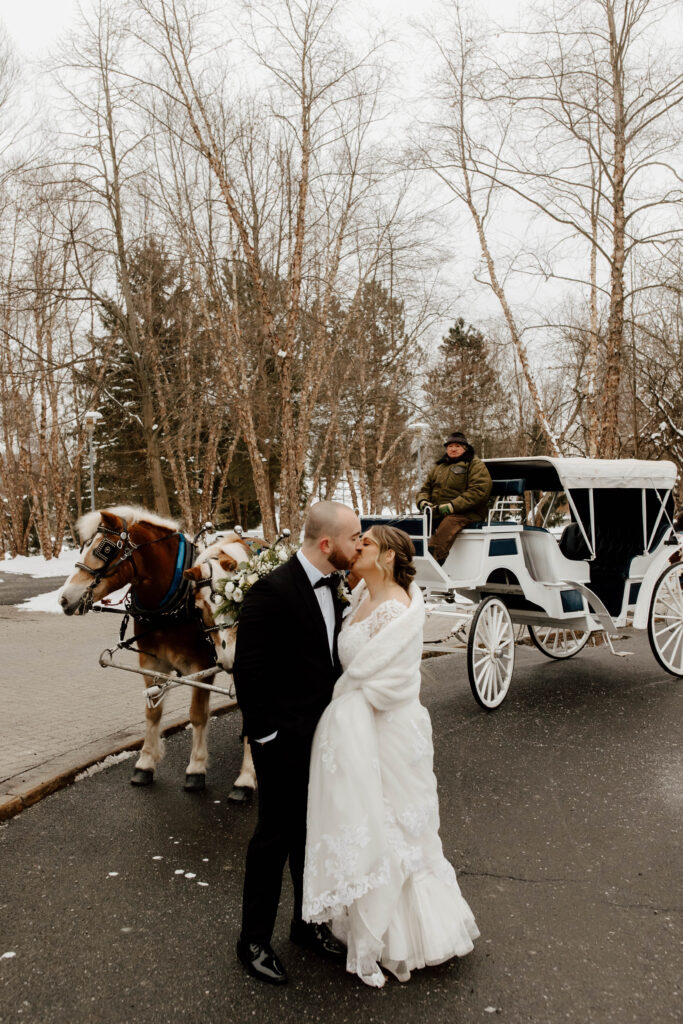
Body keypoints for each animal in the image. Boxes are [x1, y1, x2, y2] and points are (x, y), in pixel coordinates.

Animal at [59, 507, 253, 794]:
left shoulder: (203, 665)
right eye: (83, 546)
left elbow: (197, 715)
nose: (64, 598)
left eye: (104, 549)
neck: (168, 607)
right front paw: (146, 762)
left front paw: (196, 768)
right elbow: (152, 713)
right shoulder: (151, 664)